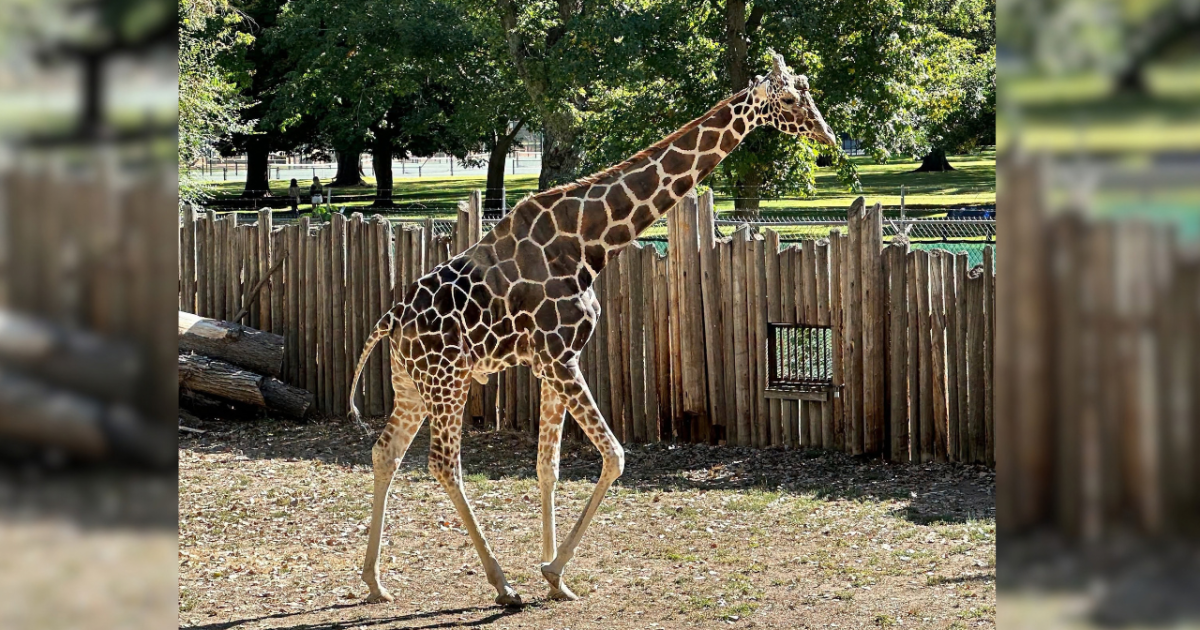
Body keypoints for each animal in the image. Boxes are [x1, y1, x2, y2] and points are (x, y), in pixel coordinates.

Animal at [348, 53, 838, 607]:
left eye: (807, 90)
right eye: (791, 98)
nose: (827, 135)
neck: (591, 243)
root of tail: (389, 320)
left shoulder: (550, 362)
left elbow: (549, 465)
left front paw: (555, 575)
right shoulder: (561, 356)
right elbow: (615, 455)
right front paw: (551, 568)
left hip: (412, 381)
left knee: (386, 451)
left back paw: (375, 581)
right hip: (446, 380)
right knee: (443, 464)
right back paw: (501, 584)